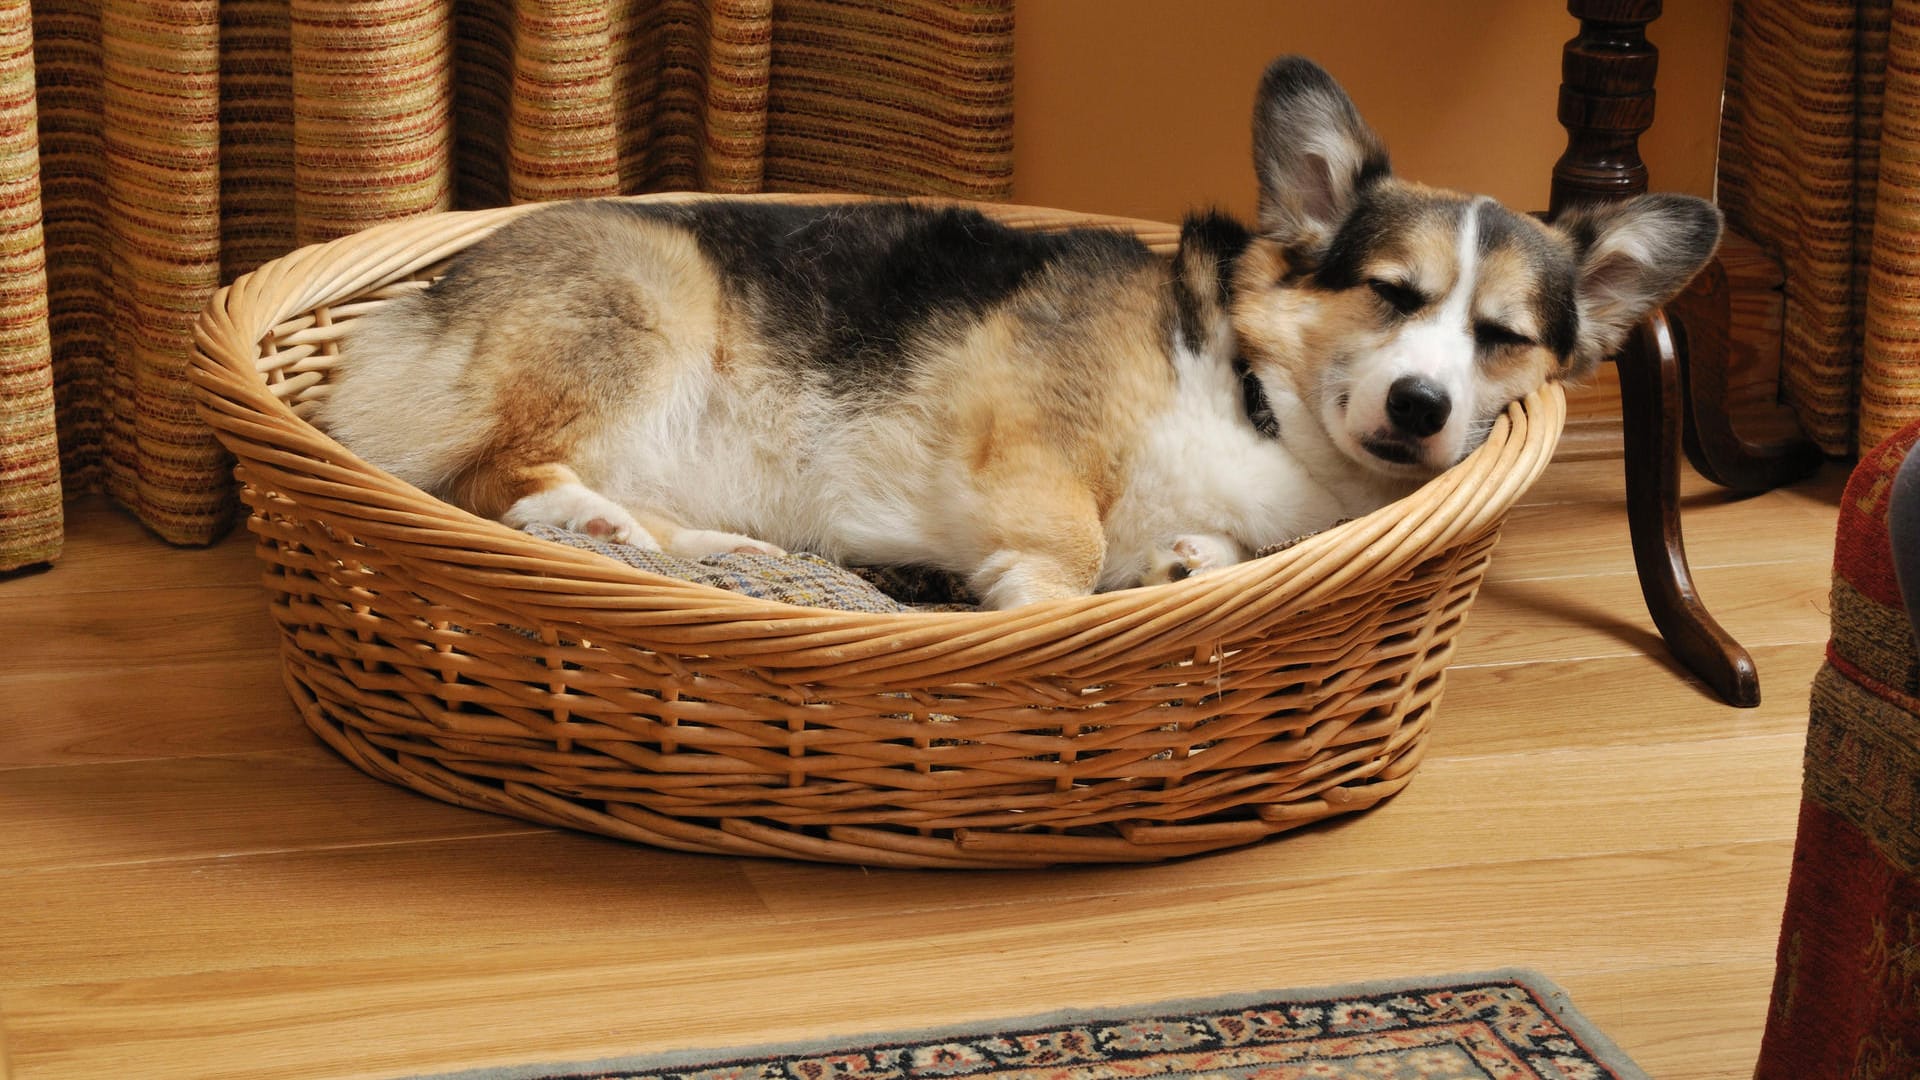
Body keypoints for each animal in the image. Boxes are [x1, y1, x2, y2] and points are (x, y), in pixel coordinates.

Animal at [314, 58, 1728, 611]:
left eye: (1503, 338)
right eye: (1390, 292)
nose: (1423, 411)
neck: (1257, 403)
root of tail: (407, 308)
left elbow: (1183, 555)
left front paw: (1186, 564)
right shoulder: (1039, 430)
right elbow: (1072, 541)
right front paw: (1038, 601)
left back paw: (705, 546)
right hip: (645, 304)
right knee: (488, 479)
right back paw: (589, 522)